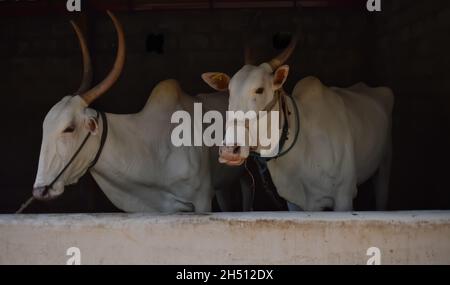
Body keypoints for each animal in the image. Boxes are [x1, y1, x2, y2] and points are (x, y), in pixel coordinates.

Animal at [202, 35, 392, 210]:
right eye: (229, 91)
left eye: (260, 89)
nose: (229, 150)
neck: (303, 147)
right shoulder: (293, 202)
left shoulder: (343, 196)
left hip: (383, 166)